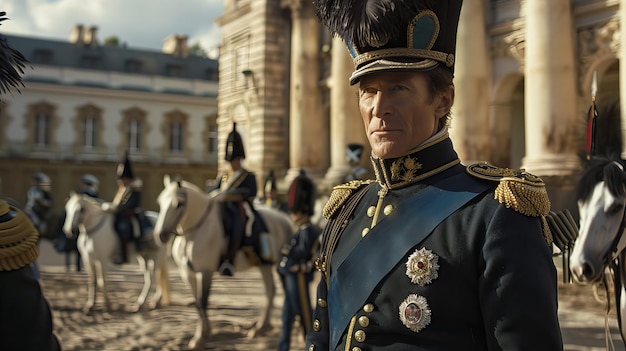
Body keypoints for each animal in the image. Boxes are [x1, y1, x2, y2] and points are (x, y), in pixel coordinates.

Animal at [151, 176, 292, 351]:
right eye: (160, 201)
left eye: (178, 204)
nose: (160, 236)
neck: (195, 232)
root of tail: (284, 219)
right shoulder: (187, 273)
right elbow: (198, 302)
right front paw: (206, 331)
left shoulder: (205, 272)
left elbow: (203, 302)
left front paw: (199, 338)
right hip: (264, 265)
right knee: (270, 291)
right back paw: (261, 328)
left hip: (277, 266)